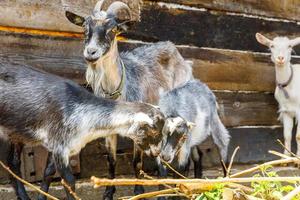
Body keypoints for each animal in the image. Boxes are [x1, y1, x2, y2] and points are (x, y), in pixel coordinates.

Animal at [64, 0, 193, 199]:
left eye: (112, 29)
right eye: (85, 28)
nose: (91, 53)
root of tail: (173, 48)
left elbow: (136, 161)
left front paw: (138, 190)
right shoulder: (109, 130)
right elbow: (111, 160)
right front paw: (108, 192)